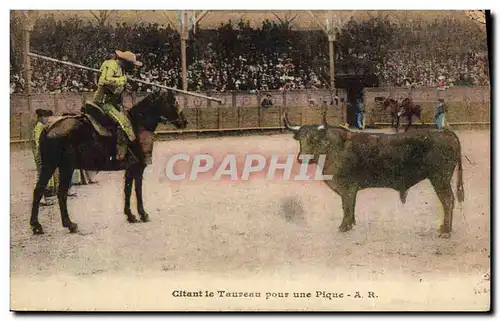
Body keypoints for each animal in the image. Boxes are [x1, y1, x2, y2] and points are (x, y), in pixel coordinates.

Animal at [30, 89, 188, 234]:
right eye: (173, 102)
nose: (184, 122)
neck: (138, 125)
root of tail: (48, 127)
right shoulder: (138, 167)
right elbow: (137, 190)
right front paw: (142, 214)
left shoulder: (130, 169)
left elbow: (128, 190)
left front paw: (130, 215)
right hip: (65, 168)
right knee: (61, 193)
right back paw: (69, 224)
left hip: (49, 166)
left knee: (38, 190)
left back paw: (36, 225)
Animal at [284, 113, 462, 238]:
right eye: (300, 139)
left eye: (315, 139)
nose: (302, 158)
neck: (334, 148)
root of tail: (446, 133)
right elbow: (349, 206)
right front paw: (350, 224)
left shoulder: (347, 187)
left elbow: (346, 206)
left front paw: (344, 226)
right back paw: (444, 228)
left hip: (440, 179)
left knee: (448, 200)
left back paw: (446, 231)